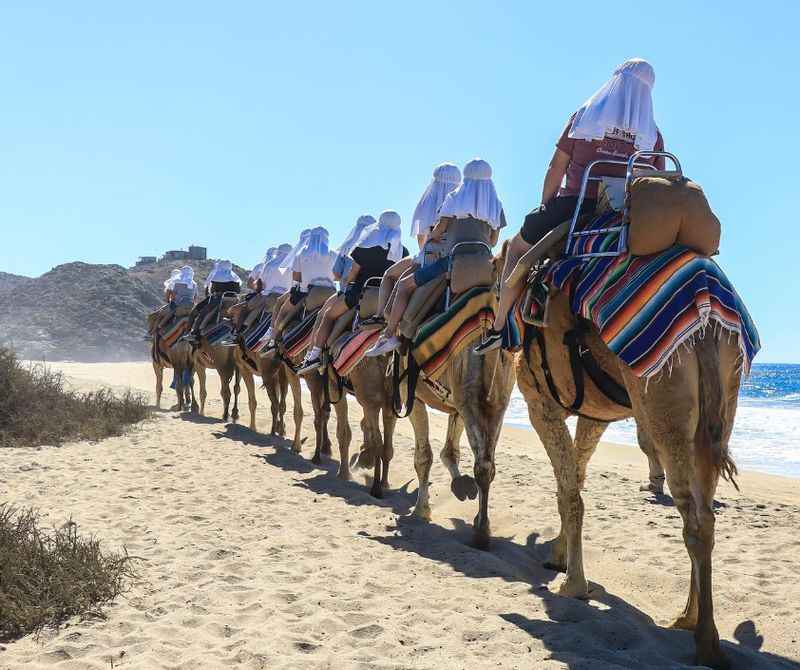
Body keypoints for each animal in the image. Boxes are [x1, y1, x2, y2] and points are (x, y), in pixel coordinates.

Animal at [520, 290, 744, 670]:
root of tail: (707, 328)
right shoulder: (594, 413)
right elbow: (574, 480)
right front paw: (559, 557)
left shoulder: (541, 403)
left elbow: (569, 492)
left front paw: (572, 584)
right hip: (720, 401)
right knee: (706, 513)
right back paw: (688, 619)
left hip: (662, 399)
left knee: (695, 521)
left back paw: (706, 643)